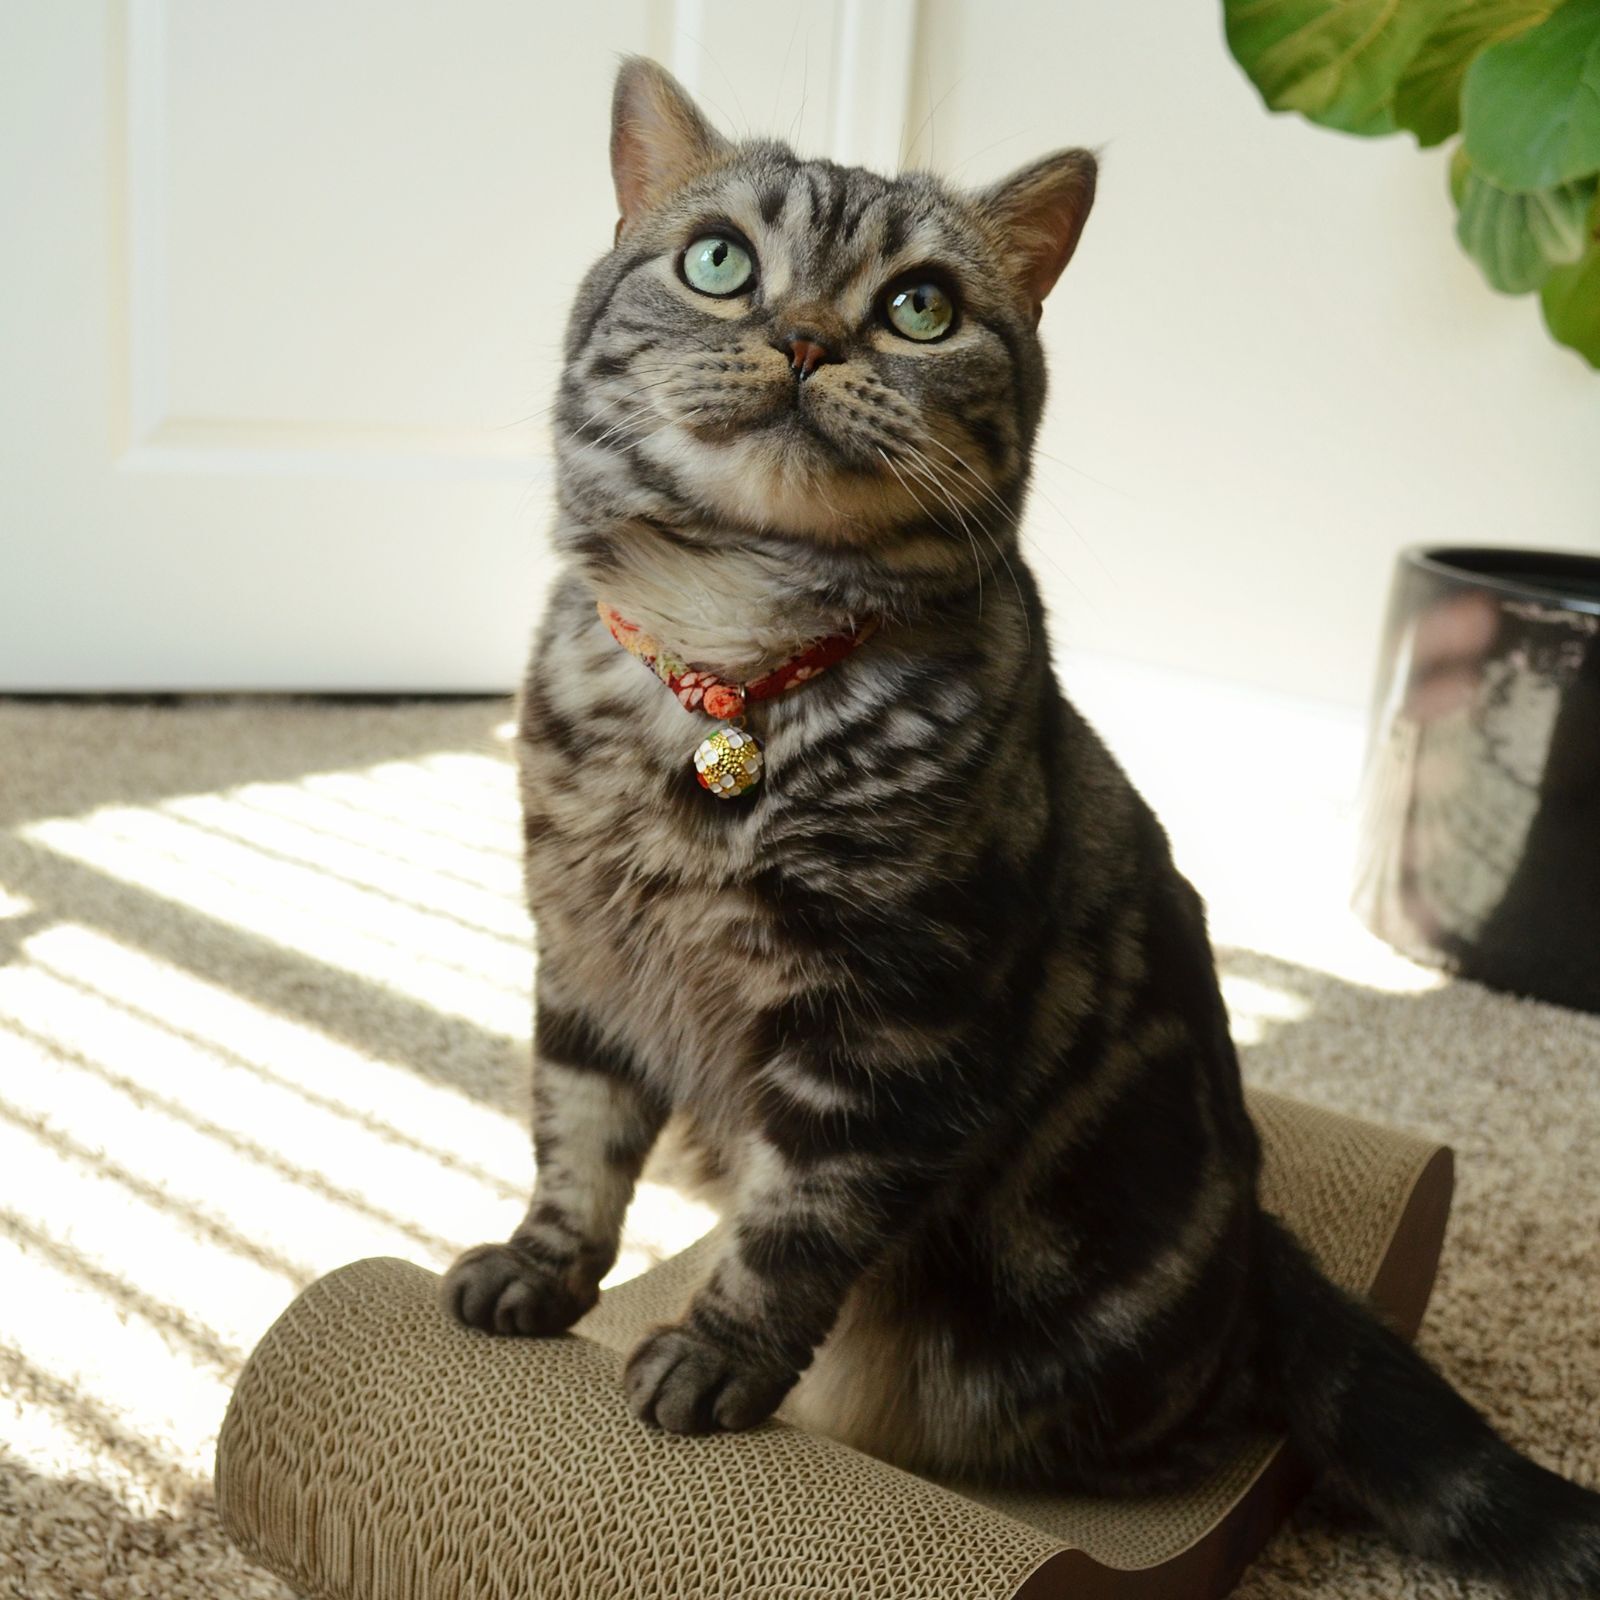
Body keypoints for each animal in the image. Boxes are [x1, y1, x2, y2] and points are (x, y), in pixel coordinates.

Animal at [444, 56, 1600, 1593]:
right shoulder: (584, 957)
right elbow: (575, 1139)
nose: (807, 340)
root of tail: (1263, 1250)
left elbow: (792, 1231)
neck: (730, 670)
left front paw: (713, 1357)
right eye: (719, 263)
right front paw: (540, 1268)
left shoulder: (888, 1025)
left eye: (920, 307)